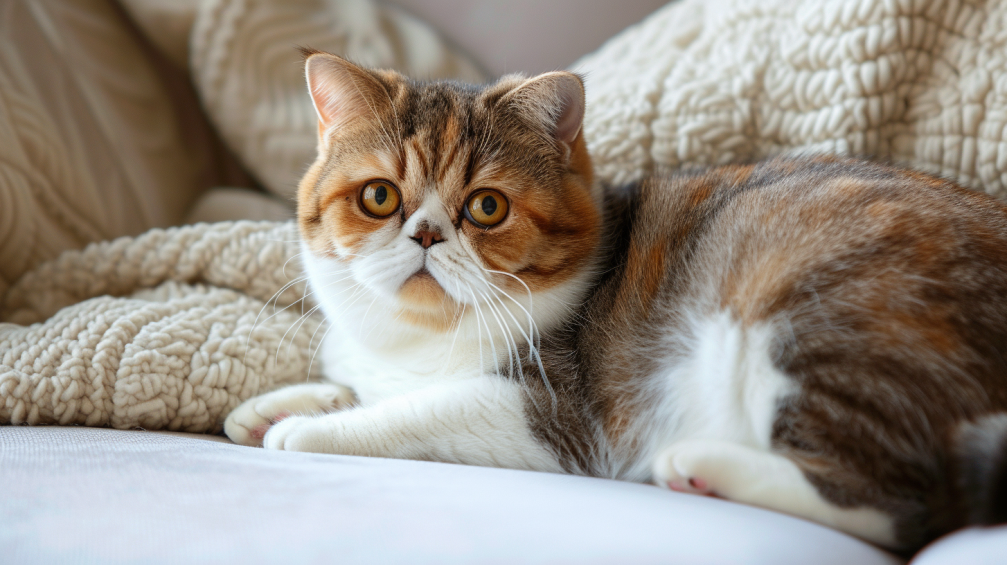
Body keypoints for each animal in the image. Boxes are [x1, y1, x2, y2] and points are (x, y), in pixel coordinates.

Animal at [224, 48, 1007, 551]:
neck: (421, 337)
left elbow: (417, 409)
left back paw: (703, 464)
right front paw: (277, 403)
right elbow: (355, 383)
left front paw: (309, 427)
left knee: (902, 505)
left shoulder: (553, 412)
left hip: (813, 308)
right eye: (379, 197)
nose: (424, 233)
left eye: (485, 207)